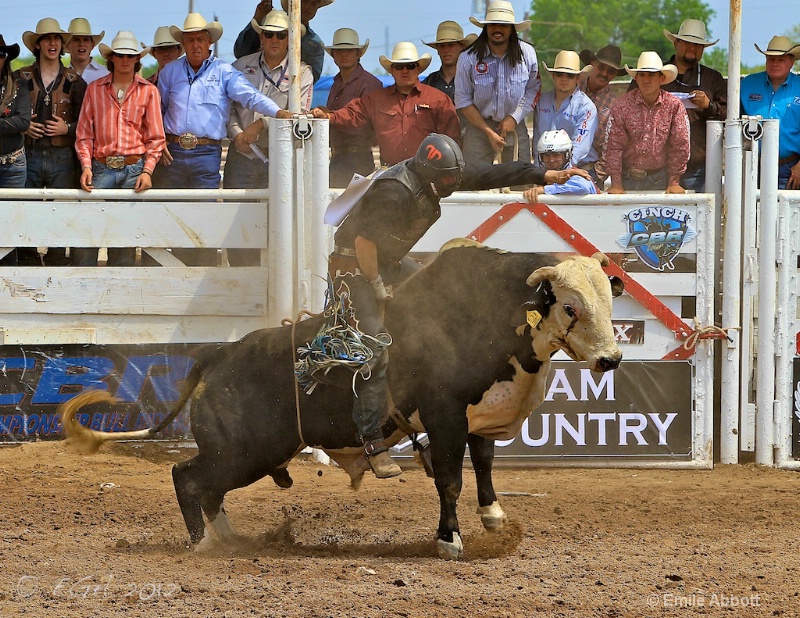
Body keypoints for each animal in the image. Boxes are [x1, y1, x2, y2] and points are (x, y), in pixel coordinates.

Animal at [62, 241, 624, 560]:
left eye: (608, 300)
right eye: (570, 306)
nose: (612, 359)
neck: (488, 310)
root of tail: (219, 355)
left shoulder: (477, 416)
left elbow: (483, 466)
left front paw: (494, 519)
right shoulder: (443, 415)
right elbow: (450, 478)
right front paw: (450, 541)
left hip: (249, 453)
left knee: (207, 489)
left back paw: (229, 541)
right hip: (244, 451)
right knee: (188, 478)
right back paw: (204, 546)